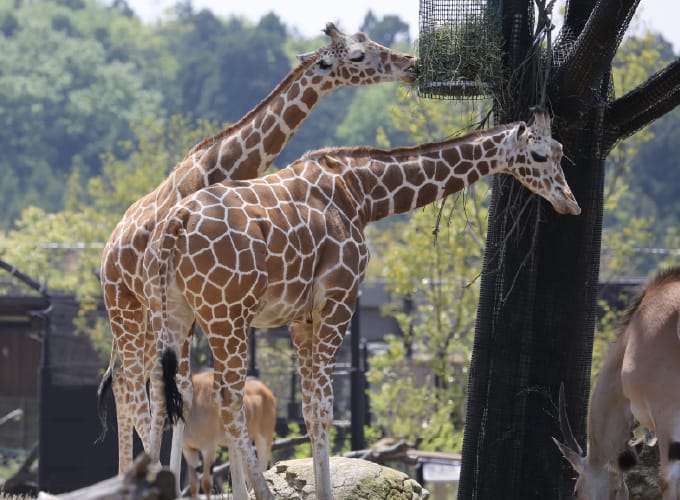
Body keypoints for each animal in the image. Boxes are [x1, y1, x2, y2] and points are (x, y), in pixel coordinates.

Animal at [94, 22, 414, 476]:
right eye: (358, 55)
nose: (409, 64)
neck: (222, 165)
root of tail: (107, 251)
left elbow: (194, 390)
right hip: (127, 308)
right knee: (129, 384)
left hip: (145, 315)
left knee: (132, 382)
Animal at [142, 110, 580, 500]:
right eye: (540, 155)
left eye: (562, 150)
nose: (570, 203)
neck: (364, 193)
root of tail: (175, 225)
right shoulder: (339, 299)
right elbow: (324, 408)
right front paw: (322, 493)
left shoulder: (301, 318)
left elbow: (309, 409)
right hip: (225, 314)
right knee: (228, 400)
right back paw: (258, 494)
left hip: (176, 313)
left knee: (167, 395)